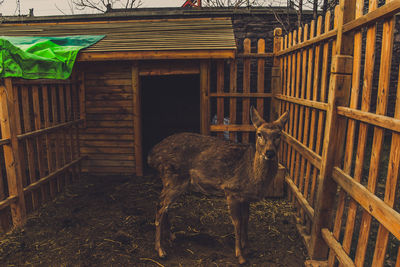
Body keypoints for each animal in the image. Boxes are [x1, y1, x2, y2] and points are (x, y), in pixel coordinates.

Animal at [147, 107, 288, 266]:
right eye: (259, 134)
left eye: (279, 135)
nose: (269, 153)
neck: (252, 174)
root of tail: (151, 155)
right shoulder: (231, 190)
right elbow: (237, 222)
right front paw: (240, 255)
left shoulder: (245, 197)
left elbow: (246, 220)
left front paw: (248, 248)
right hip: (173, 178)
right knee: (160, 205)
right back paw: (160, 250)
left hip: (173, 181)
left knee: (165, 206)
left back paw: (171, 236)